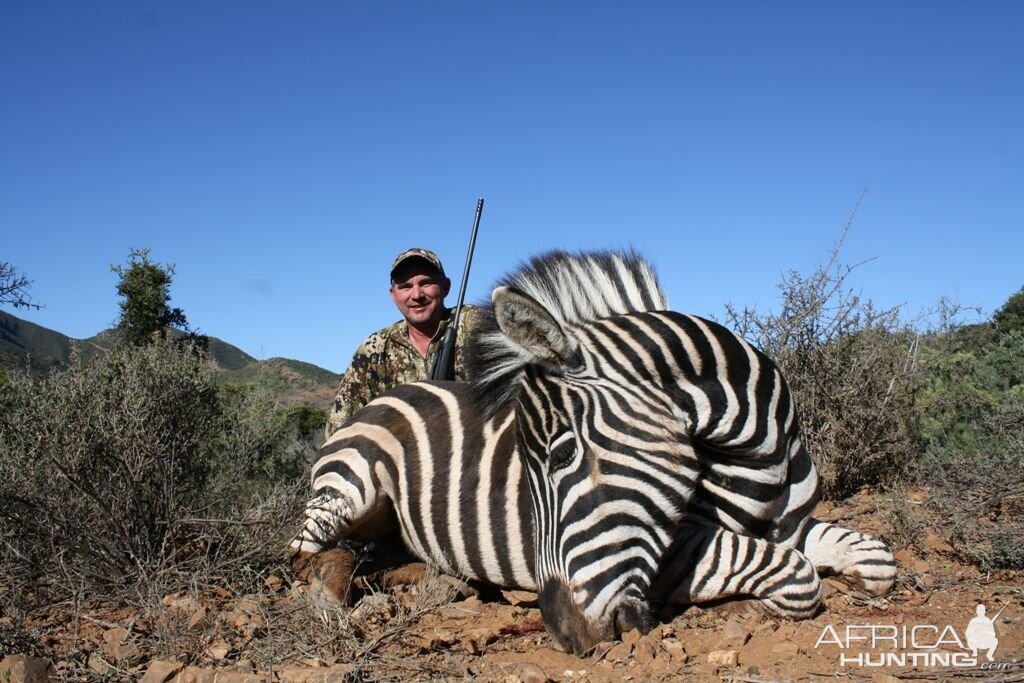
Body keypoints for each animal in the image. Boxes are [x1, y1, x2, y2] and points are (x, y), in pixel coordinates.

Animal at [290, 248, 897, 655]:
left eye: (560, 455)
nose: (567, 637)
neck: (762, 458)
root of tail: (385, 396)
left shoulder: (790, 524)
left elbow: (875, 559)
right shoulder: (674, 552)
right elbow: (792, 574)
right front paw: (745, 603)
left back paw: (437, 579)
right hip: (347, 489)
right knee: (311, 558)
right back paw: (333, 607)